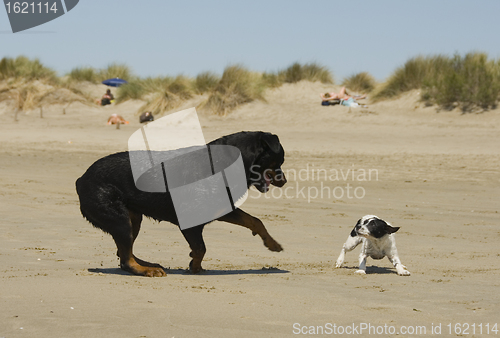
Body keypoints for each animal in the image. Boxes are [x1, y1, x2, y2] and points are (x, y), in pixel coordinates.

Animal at [77, 131, 290, 276]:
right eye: (279, 161)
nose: (285, 181)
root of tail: (81, 179)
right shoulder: (191, 222)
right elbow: (201, 248)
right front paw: (194, 266)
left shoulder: (222, 209)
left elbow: (254, 221)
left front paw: (271, 243)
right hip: (119, 219)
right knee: (125, 257)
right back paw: (146, 270)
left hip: (133, 218)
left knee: (123, 253)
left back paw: (148, 264)